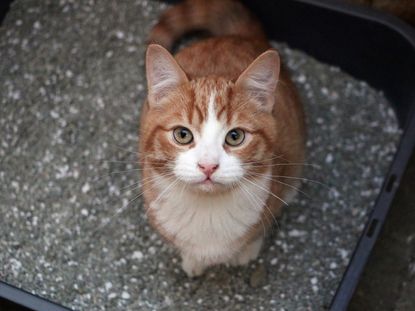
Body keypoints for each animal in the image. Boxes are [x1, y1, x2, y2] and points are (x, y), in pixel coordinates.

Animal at [139, 0, 306, 278]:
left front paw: (247, 250)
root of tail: (239, 36)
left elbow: (259, 229)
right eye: (182, 135)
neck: (208, 211)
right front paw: (192, 259)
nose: (208, 166)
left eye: (235, 136)